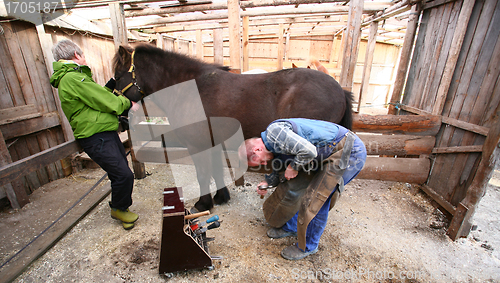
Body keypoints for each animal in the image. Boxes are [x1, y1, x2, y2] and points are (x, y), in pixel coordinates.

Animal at [113, 44, 352, 213]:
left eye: (117, 75)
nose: (120, 117)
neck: (191, 89)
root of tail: (340, 89)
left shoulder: (198, 146)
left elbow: (203, 175)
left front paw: (202, 204)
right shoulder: (213, 142)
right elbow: (216, 171)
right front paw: (220, 197)